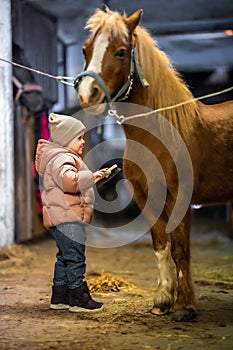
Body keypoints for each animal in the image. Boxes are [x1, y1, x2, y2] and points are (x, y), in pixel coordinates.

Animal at [74, 8, 233, 322]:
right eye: (86, 49)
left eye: (122, 52)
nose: (88, 95)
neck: (162, 133)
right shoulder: (146, 196)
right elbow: (161, 246)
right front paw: (162, 301)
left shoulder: (180, 198)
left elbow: (181, 250)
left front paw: (185, 307)